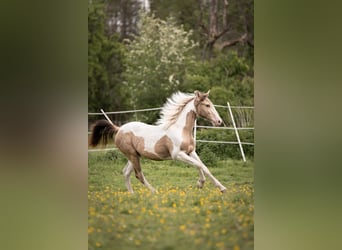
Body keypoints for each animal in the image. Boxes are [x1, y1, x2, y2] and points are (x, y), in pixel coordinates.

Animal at [89, 90, 227, 193]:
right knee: (138, 175)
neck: (181, 129)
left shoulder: (191, 152)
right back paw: (154, 192)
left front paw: (215, 186)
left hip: (134, 156)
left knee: (126, 173)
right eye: (207, 105)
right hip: (132, 155)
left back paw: (132, 194)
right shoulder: (178, 155)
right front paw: (204, 185)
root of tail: (119, 129)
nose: (219, 121)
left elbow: (203, 166)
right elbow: (200, 165)